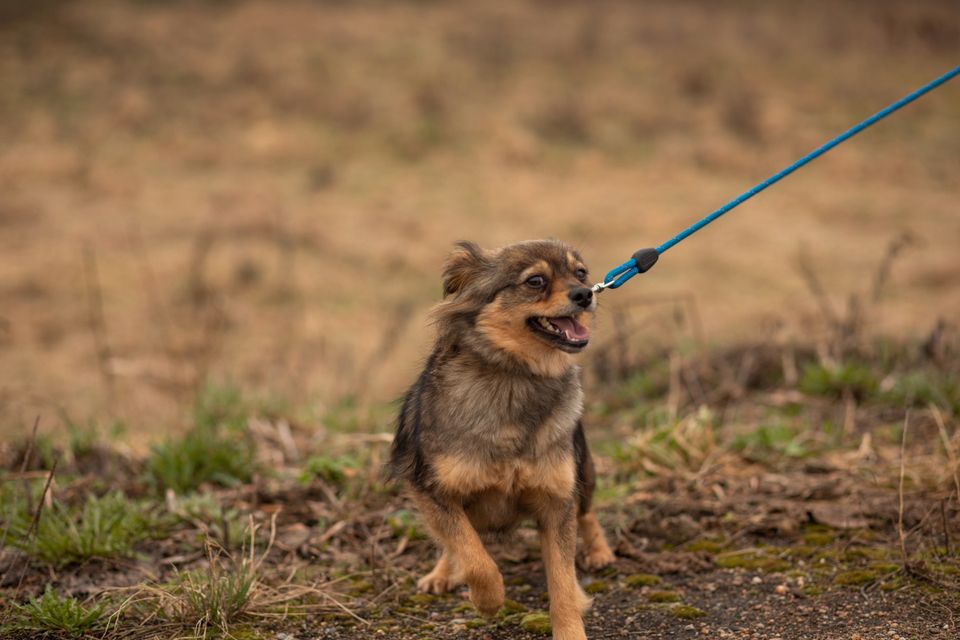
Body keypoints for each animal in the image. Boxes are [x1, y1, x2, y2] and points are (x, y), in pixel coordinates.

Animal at [390, 239, 616, 640]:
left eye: (580, 273)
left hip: (583, 468)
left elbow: (562, 582)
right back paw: (442, 573)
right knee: (454, 542)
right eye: (535, 281)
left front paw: (570, 626)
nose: (586, 294)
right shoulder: (430, 490)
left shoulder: (557, 501)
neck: (516, 374)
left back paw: (599, 553)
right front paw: (488, 599)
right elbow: (472, 555)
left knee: (587, 512)